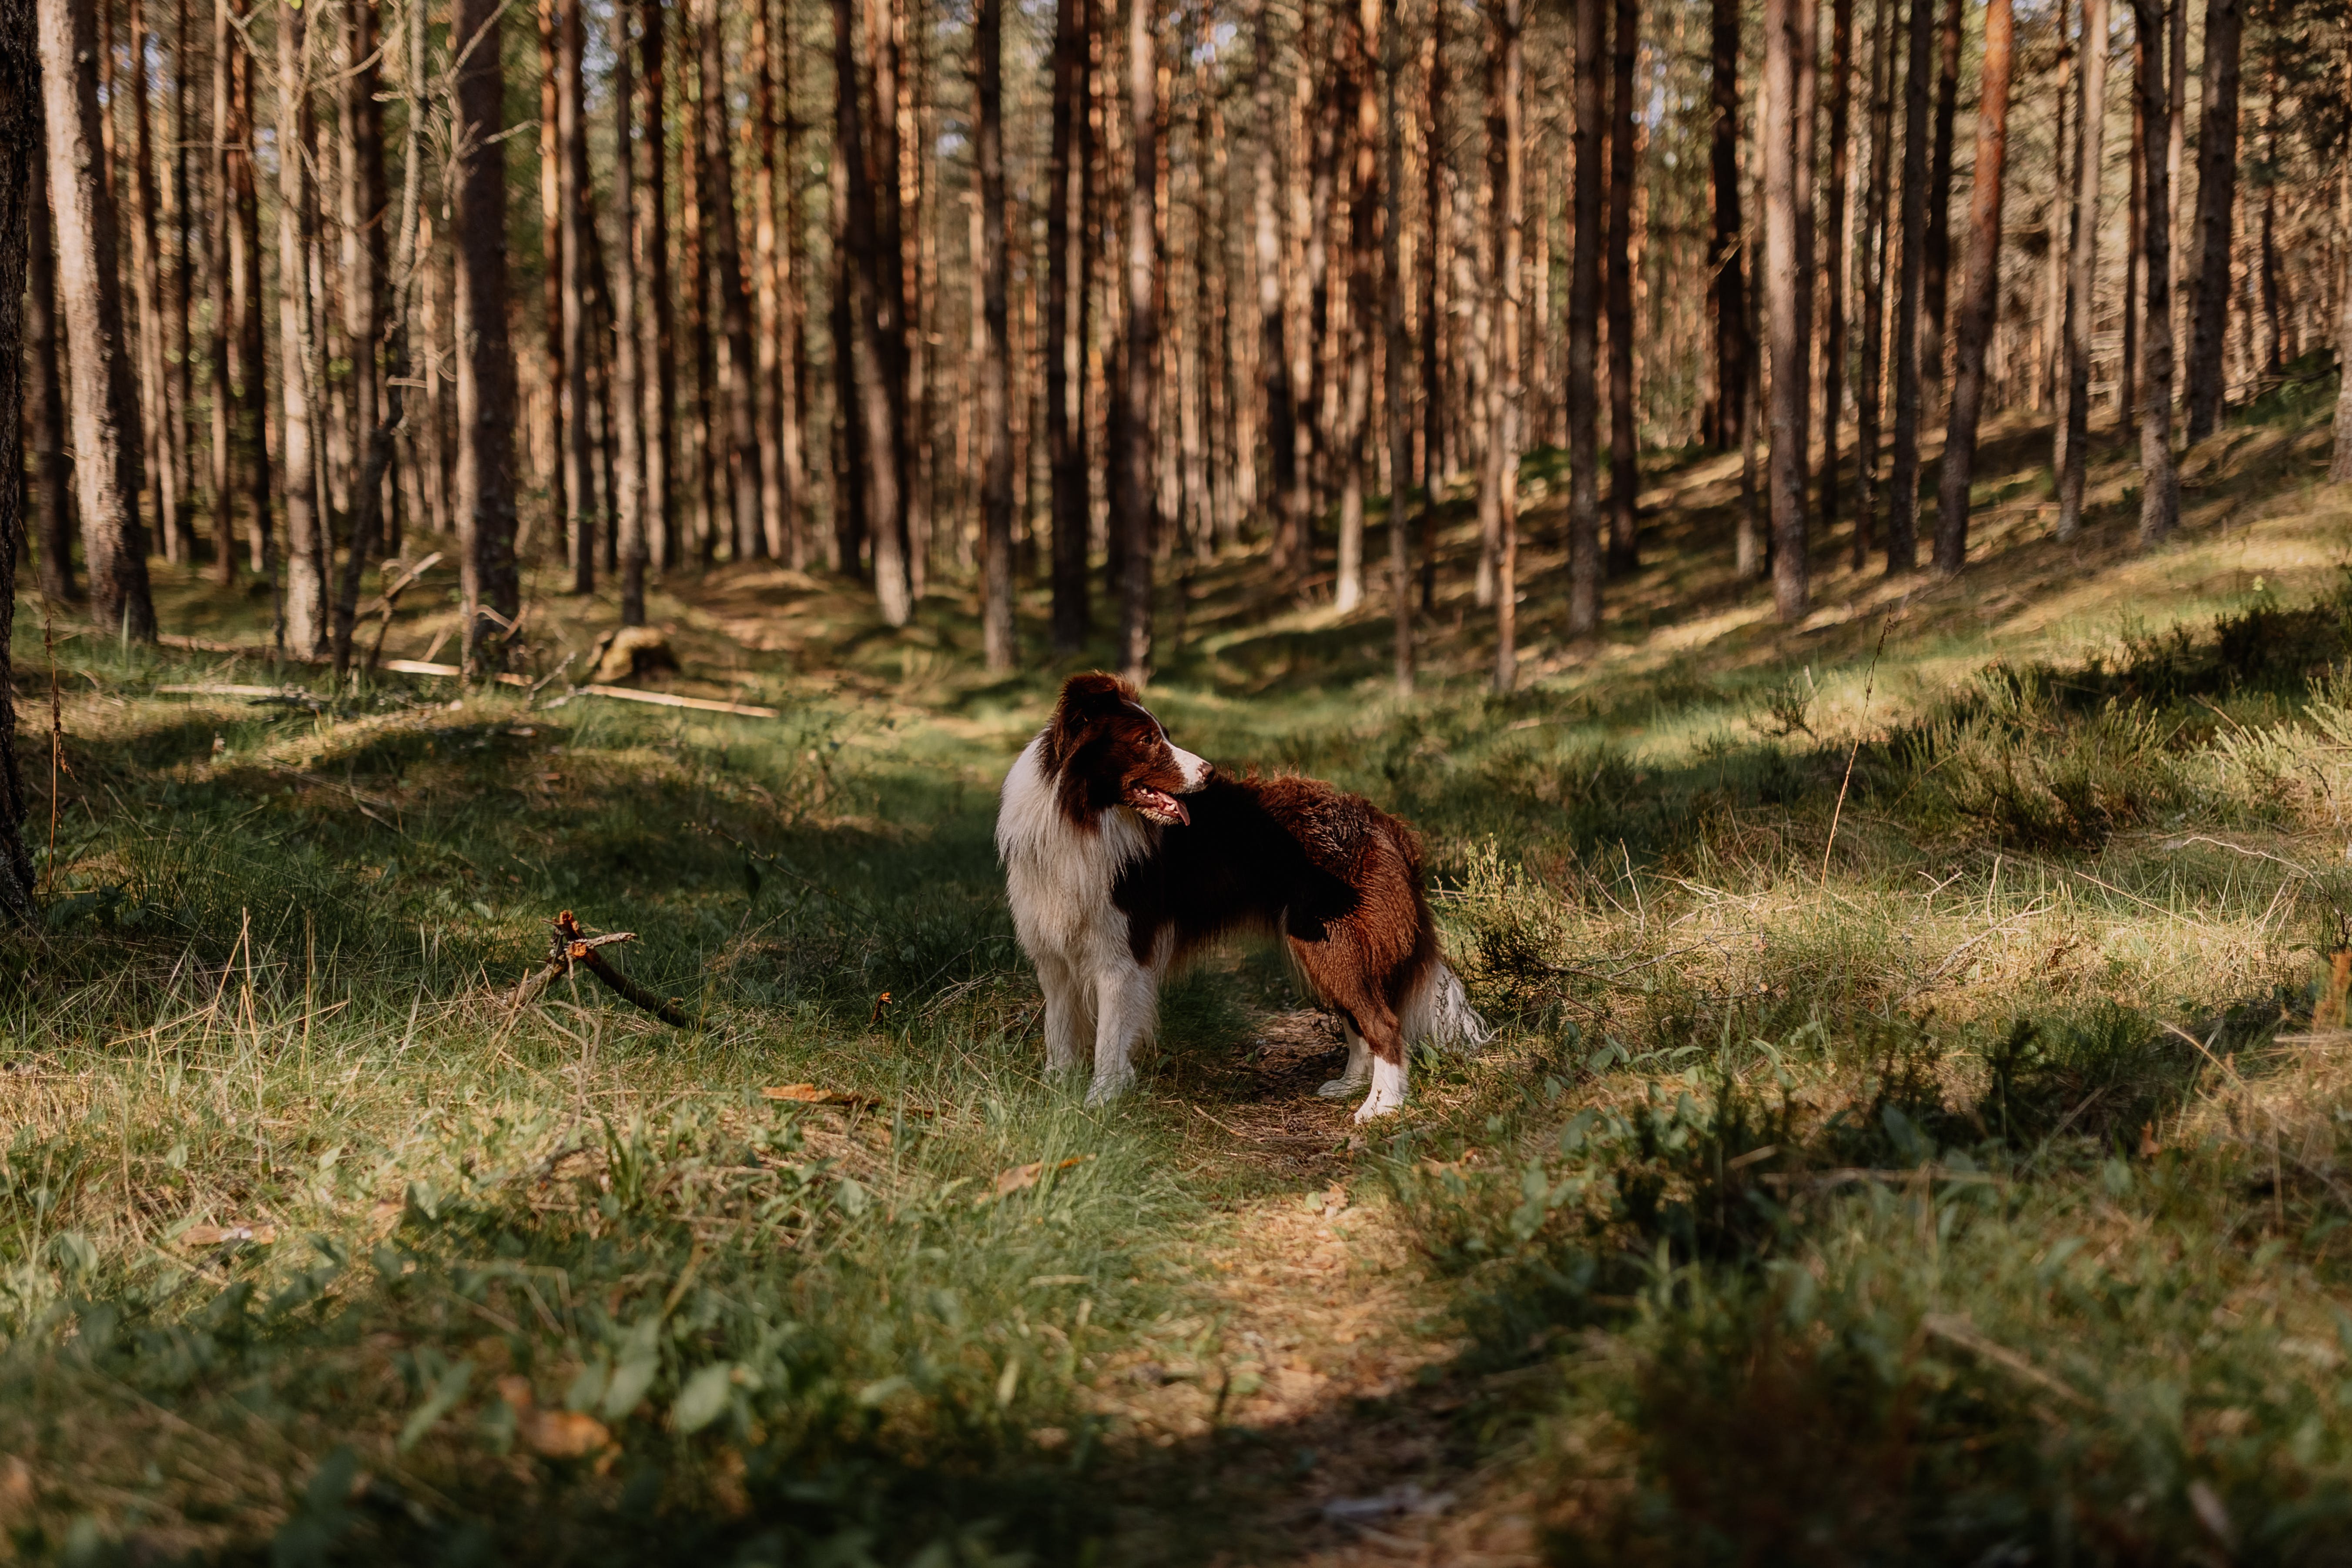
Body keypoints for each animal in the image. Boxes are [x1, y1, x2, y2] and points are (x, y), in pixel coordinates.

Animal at [992, 672, 1486, 1114]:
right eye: (1147, 740)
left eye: (1164, 735)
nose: (1209, 772)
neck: (1082, 817)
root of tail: (1383, 821)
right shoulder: (1053, 954)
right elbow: (1059, 1031)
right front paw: (1054, 1091)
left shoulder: (1121, 954)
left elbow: (1109, 1038)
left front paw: (1102, 1100)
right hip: (1324, 946)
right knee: (1359, 1019)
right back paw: (1349, 1086)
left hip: (1334, 942)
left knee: (1384, 1022)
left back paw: (1381, 1106)